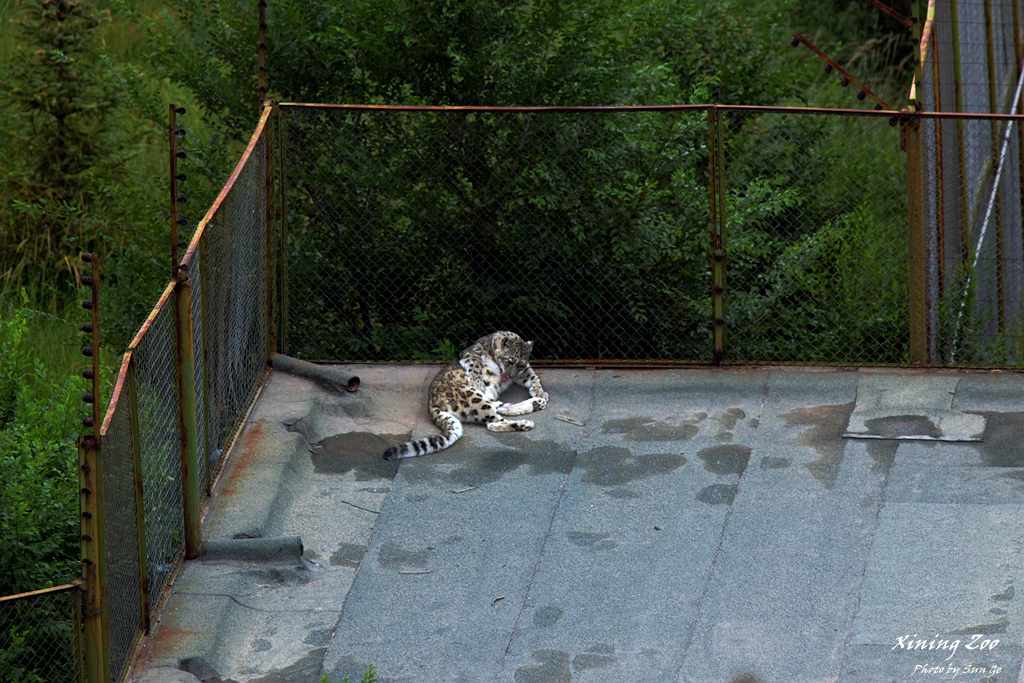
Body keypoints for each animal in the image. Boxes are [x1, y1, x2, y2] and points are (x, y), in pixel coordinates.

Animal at [382, 331, 548, 460]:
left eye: (521, 364)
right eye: (510, 360)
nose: (510, 376)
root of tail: (431, 403)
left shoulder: (525, 371)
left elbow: (532, 376)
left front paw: (540, 392)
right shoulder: (472, 353)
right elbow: (475, 366)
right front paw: (478, 382)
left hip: (488, 402)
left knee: (500, 409)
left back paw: (536, 402)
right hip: (475, 399)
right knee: (493, 422)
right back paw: (524, 422)